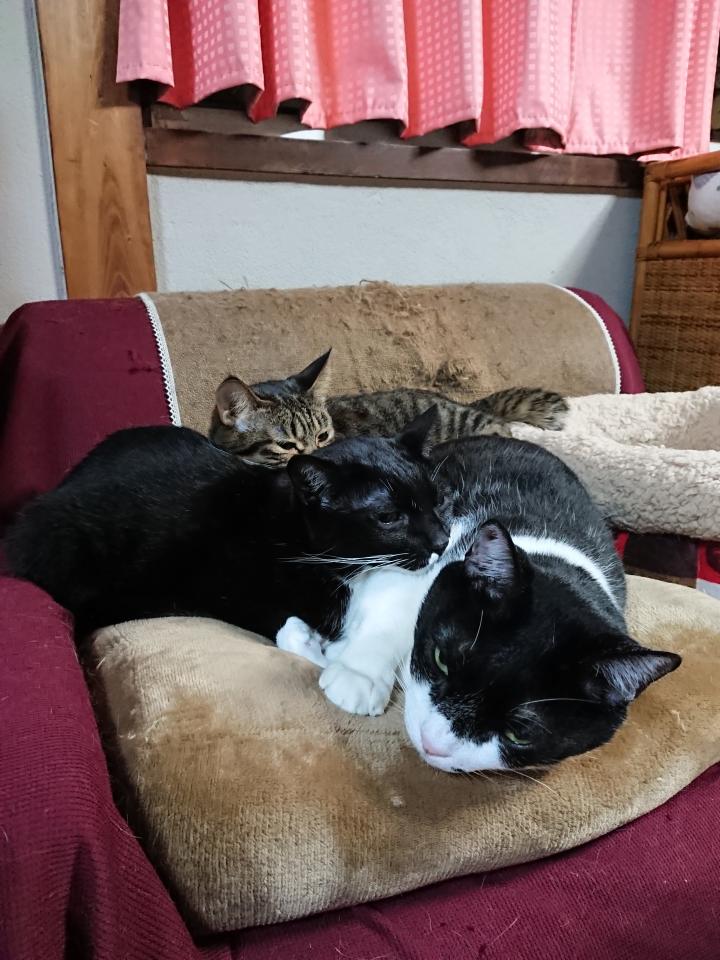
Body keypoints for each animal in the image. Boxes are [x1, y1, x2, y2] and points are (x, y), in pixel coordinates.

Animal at [277, 437, 681, 772]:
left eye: (519, 733)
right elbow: (389, 608)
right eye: (441, 660)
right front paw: (355, 676)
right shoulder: (417, 560)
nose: (433, 744)